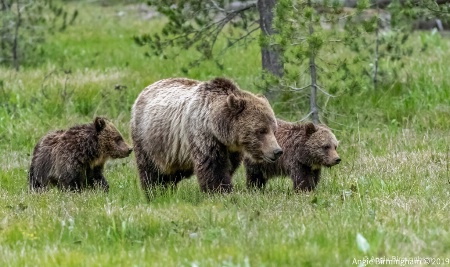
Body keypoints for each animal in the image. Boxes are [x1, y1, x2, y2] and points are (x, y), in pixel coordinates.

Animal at [130, 76, 284, 198]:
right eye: (261, 131)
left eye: (273, 129)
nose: (277, 151)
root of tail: (145, 89)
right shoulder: (203, 135)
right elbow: (213, 167)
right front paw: (220, 192)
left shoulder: (231, 149)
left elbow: (228, 167)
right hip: (149, 139)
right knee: (151, 171)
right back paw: (155, 193)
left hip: (174, 152)